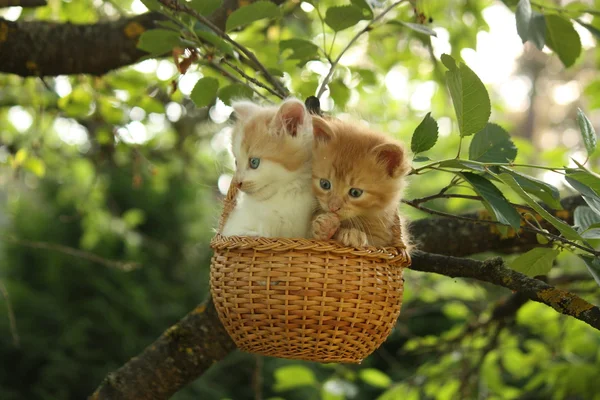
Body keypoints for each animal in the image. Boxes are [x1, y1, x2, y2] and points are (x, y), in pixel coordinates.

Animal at [310, 115, 412, 247]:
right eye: (325, 184)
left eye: (355, 193)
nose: (333, 207)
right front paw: (324, 226)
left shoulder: (382, 237)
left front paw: (352, 234)